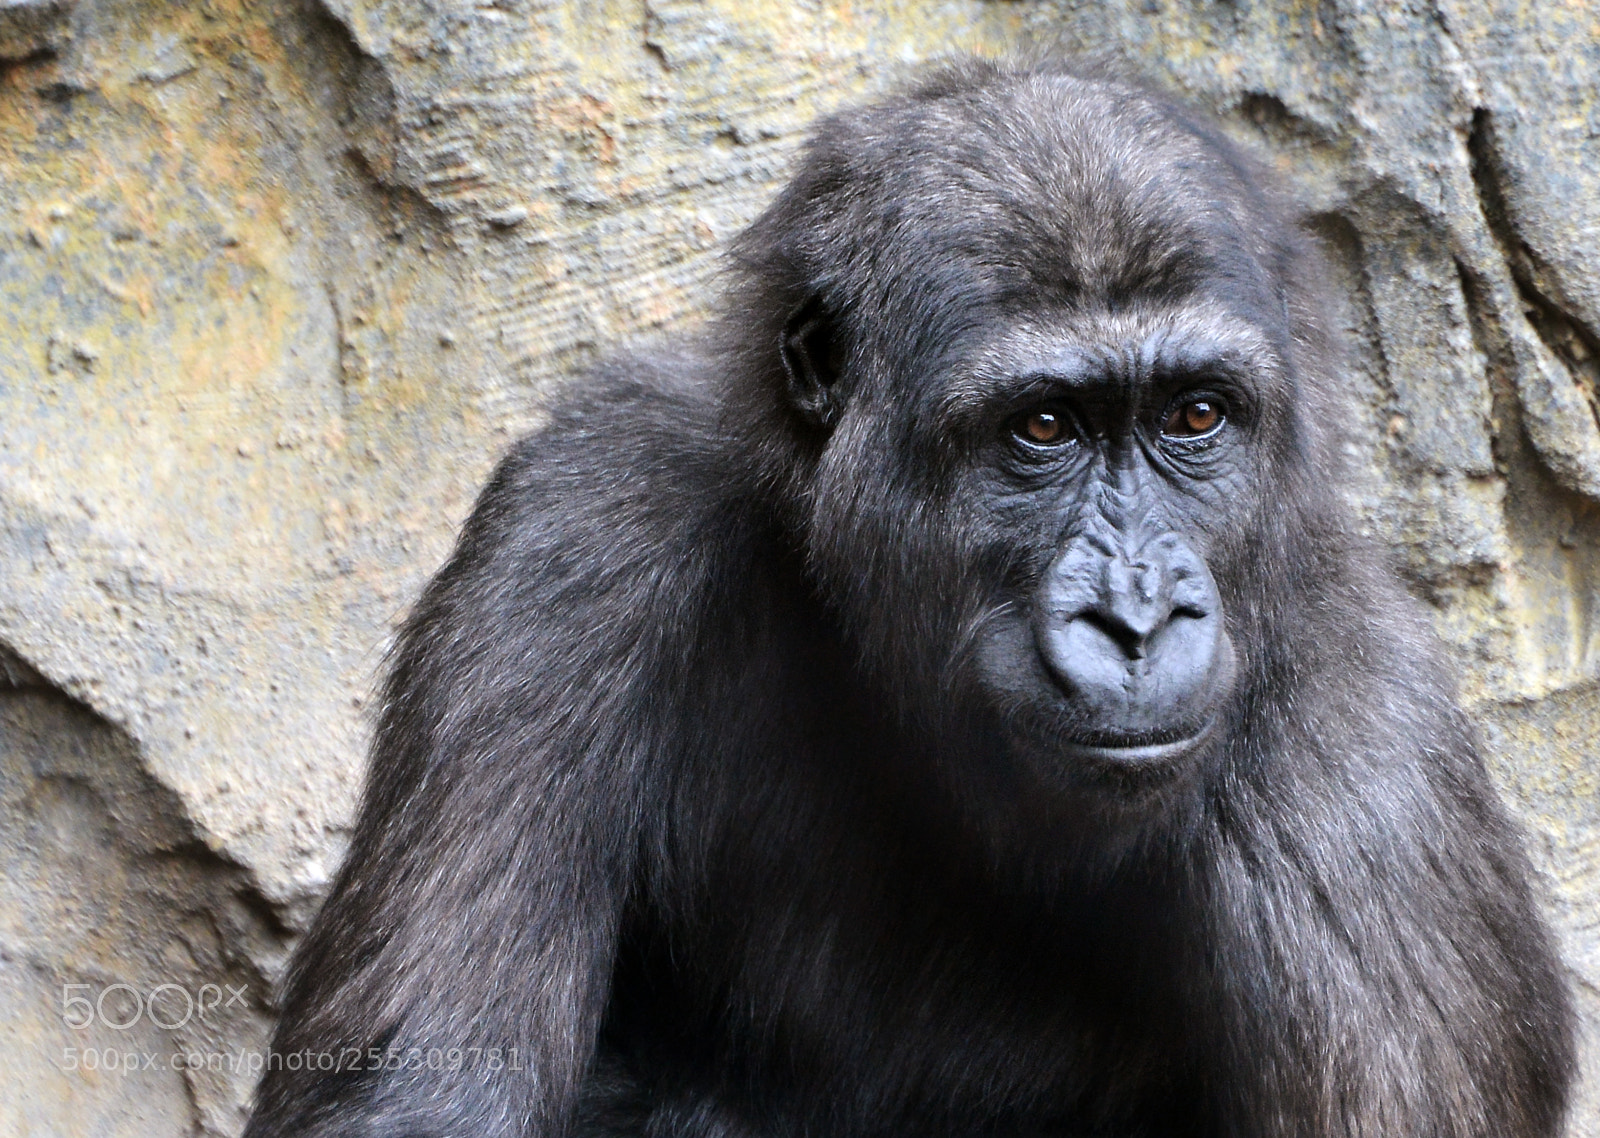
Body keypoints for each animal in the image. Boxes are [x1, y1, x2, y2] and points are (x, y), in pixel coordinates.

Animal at [246, 57, 1575, 1138]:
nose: (1135, 617)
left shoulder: (1368, 758)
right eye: (1042, 428)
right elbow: (418, 1090)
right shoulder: (580, 521)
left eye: (1196, 415)